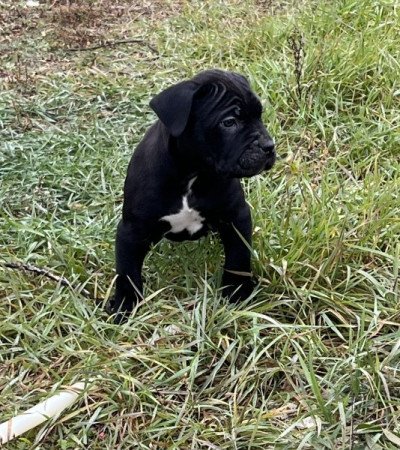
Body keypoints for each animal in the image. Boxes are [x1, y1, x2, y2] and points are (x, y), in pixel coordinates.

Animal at [106, 68, 276, 322]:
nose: (269, 146)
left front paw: (237, 293)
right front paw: (124, 306)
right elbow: (127, 272)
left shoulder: (236, 216)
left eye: (260, 115)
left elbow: (238, 258)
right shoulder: (131, 230)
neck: (193, 174)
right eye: (229, 122)